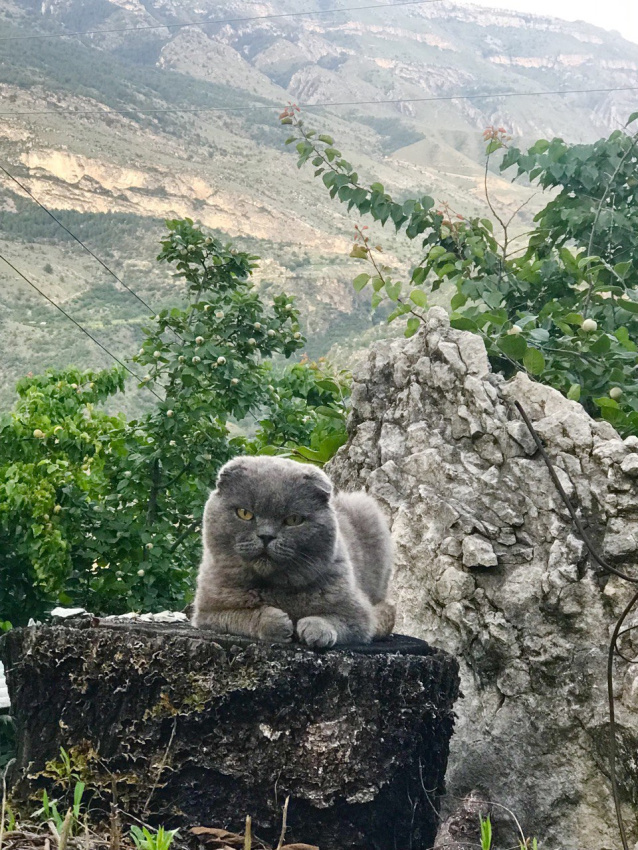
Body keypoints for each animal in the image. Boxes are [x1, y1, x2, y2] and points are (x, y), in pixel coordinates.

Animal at [192, 458, 398, 644]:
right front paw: (277, 624)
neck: (274, 588)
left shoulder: (359, 615)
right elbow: (242, 616)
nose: (266, 536)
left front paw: (316, 630)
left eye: (293, 520)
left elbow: (336, 620)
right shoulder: (207, 614)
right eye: (244, 513)